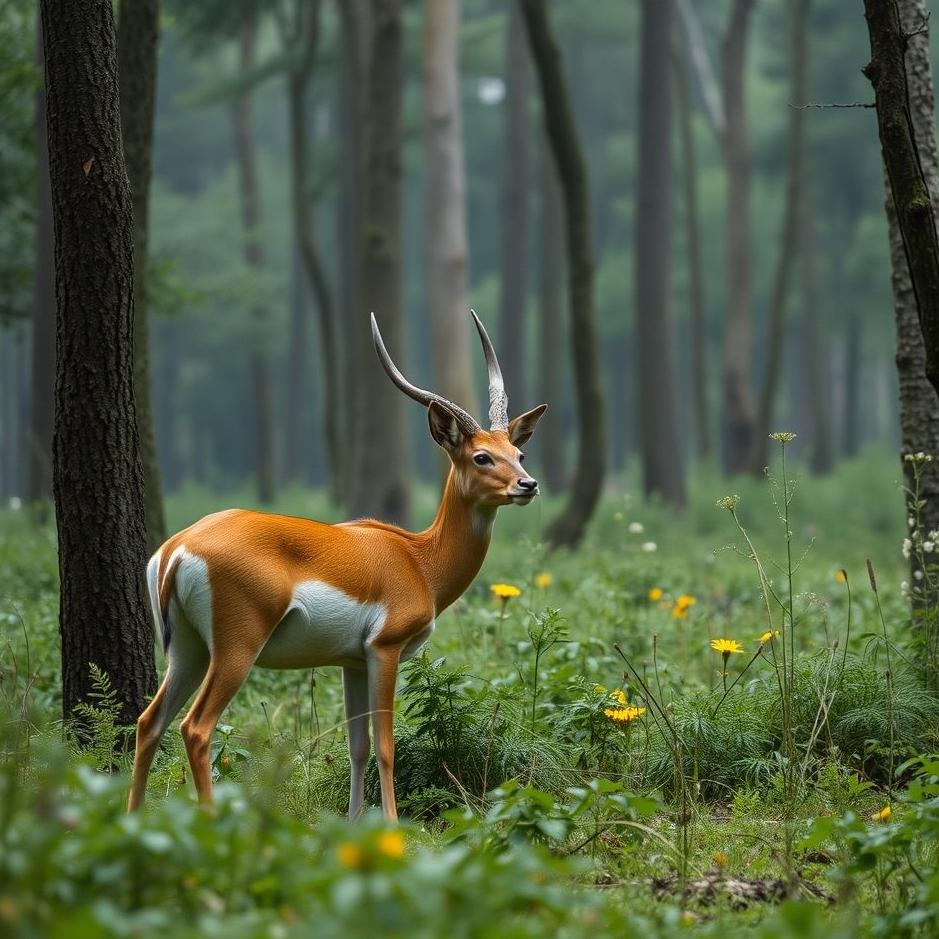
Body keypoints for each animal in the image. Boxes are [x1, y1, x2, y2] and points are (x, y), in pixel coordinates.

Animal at [128, 313, 546, 820]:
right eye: (481, 456)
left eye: (518, 453)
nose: (528, 484)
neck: (418, 559)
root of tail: (179, 548)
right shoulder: (385, 650)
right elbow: (386, 746)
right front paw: (392, 825)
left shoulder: (352, 661)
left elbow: (358, 746)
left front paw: (352, 823)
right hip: (236, 648)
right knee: (195, 728)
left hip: (188, 650)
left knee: (148, 722)